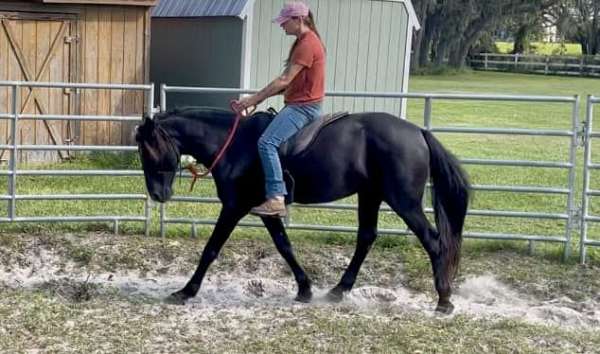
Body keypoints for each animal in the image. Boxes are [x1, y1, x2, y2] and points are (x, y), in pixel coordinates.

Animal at [136, 107, 468, 312]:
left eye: (149, 149)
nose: (158, 194)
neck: (233, 146)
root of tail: (419, 132)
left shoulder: (234, 206)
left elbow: (211, 249)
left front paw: (186, 291)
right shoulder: (265, 210)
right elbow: (284, 246)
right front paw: (305, 289)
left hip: (404, 201)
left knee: (433, 241)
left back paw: (443, 299)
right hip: (370, 195)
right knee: (366, 237)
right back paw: (338, 290)